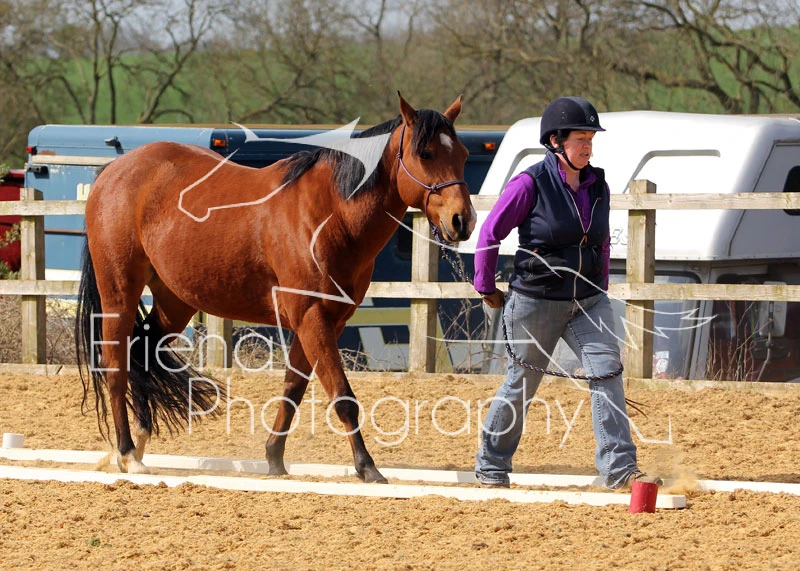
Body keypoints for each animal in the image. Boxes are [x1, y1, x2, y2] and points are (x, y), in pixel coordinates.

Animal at [75, 94, 475, 483]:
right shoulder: (312, 318)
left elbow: (293, 389)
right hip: (119, 293)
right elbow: (342, 395)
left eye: (463, 154)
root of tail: (114, 171)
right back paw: (127, 452)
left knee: (142, 351)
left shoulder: (325, 321)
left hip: (175, 302)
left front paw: (274, 460)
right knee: (116, 364)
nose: (463, 220)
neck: (330, 213)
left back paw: (139, 444)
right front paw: (367, 467)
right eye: (425, 154)